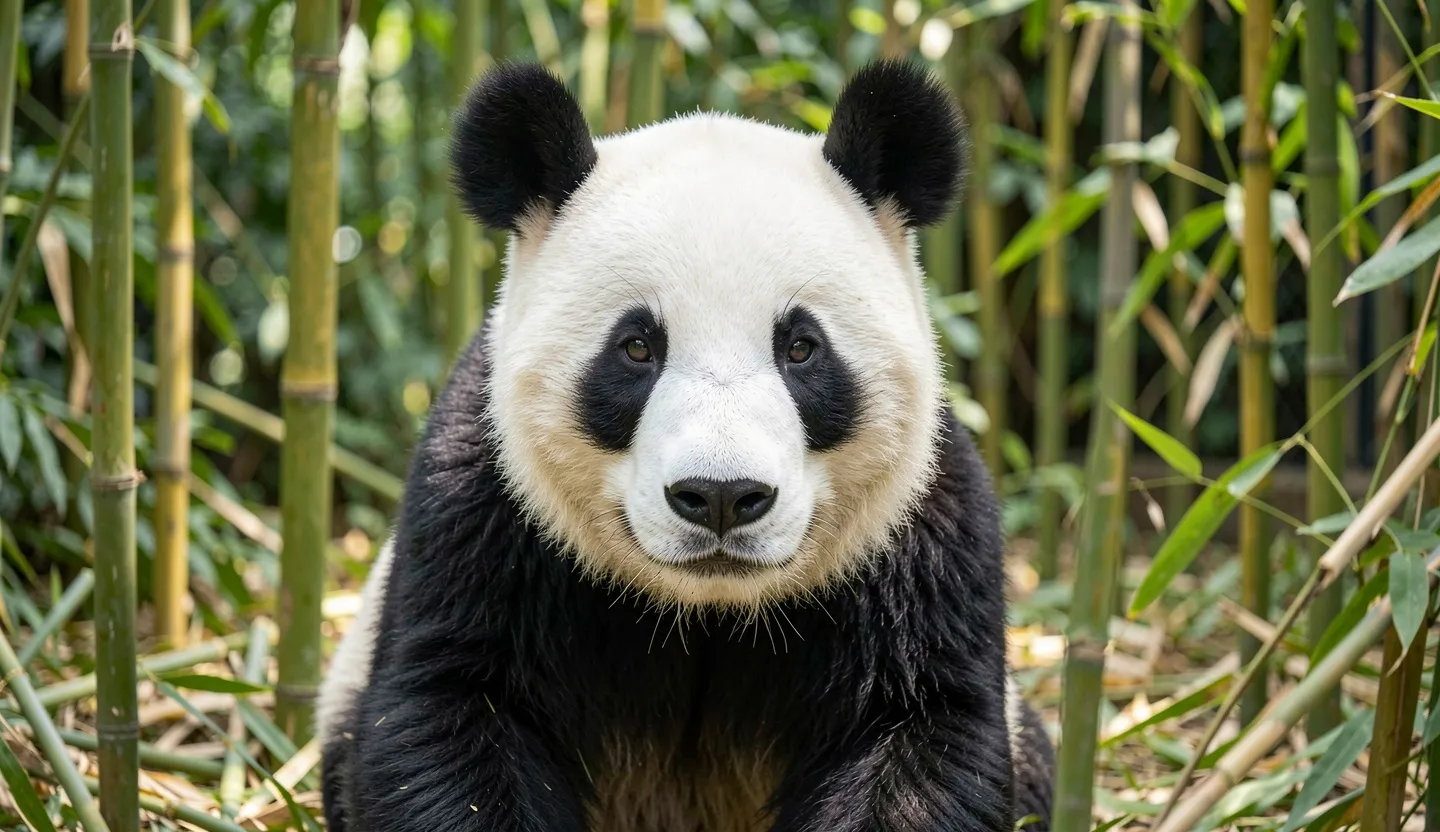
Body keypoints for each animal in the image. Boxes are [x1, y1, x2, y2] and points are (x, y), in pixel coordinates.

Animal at [316, 59, 1055, 832]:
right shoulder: (486, 509)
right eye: (637, 347)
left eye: (801, 348)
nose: (722, 497)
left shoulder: (913, 535)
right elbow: (452, 711)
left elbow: (919, 729)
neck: (705, 610)